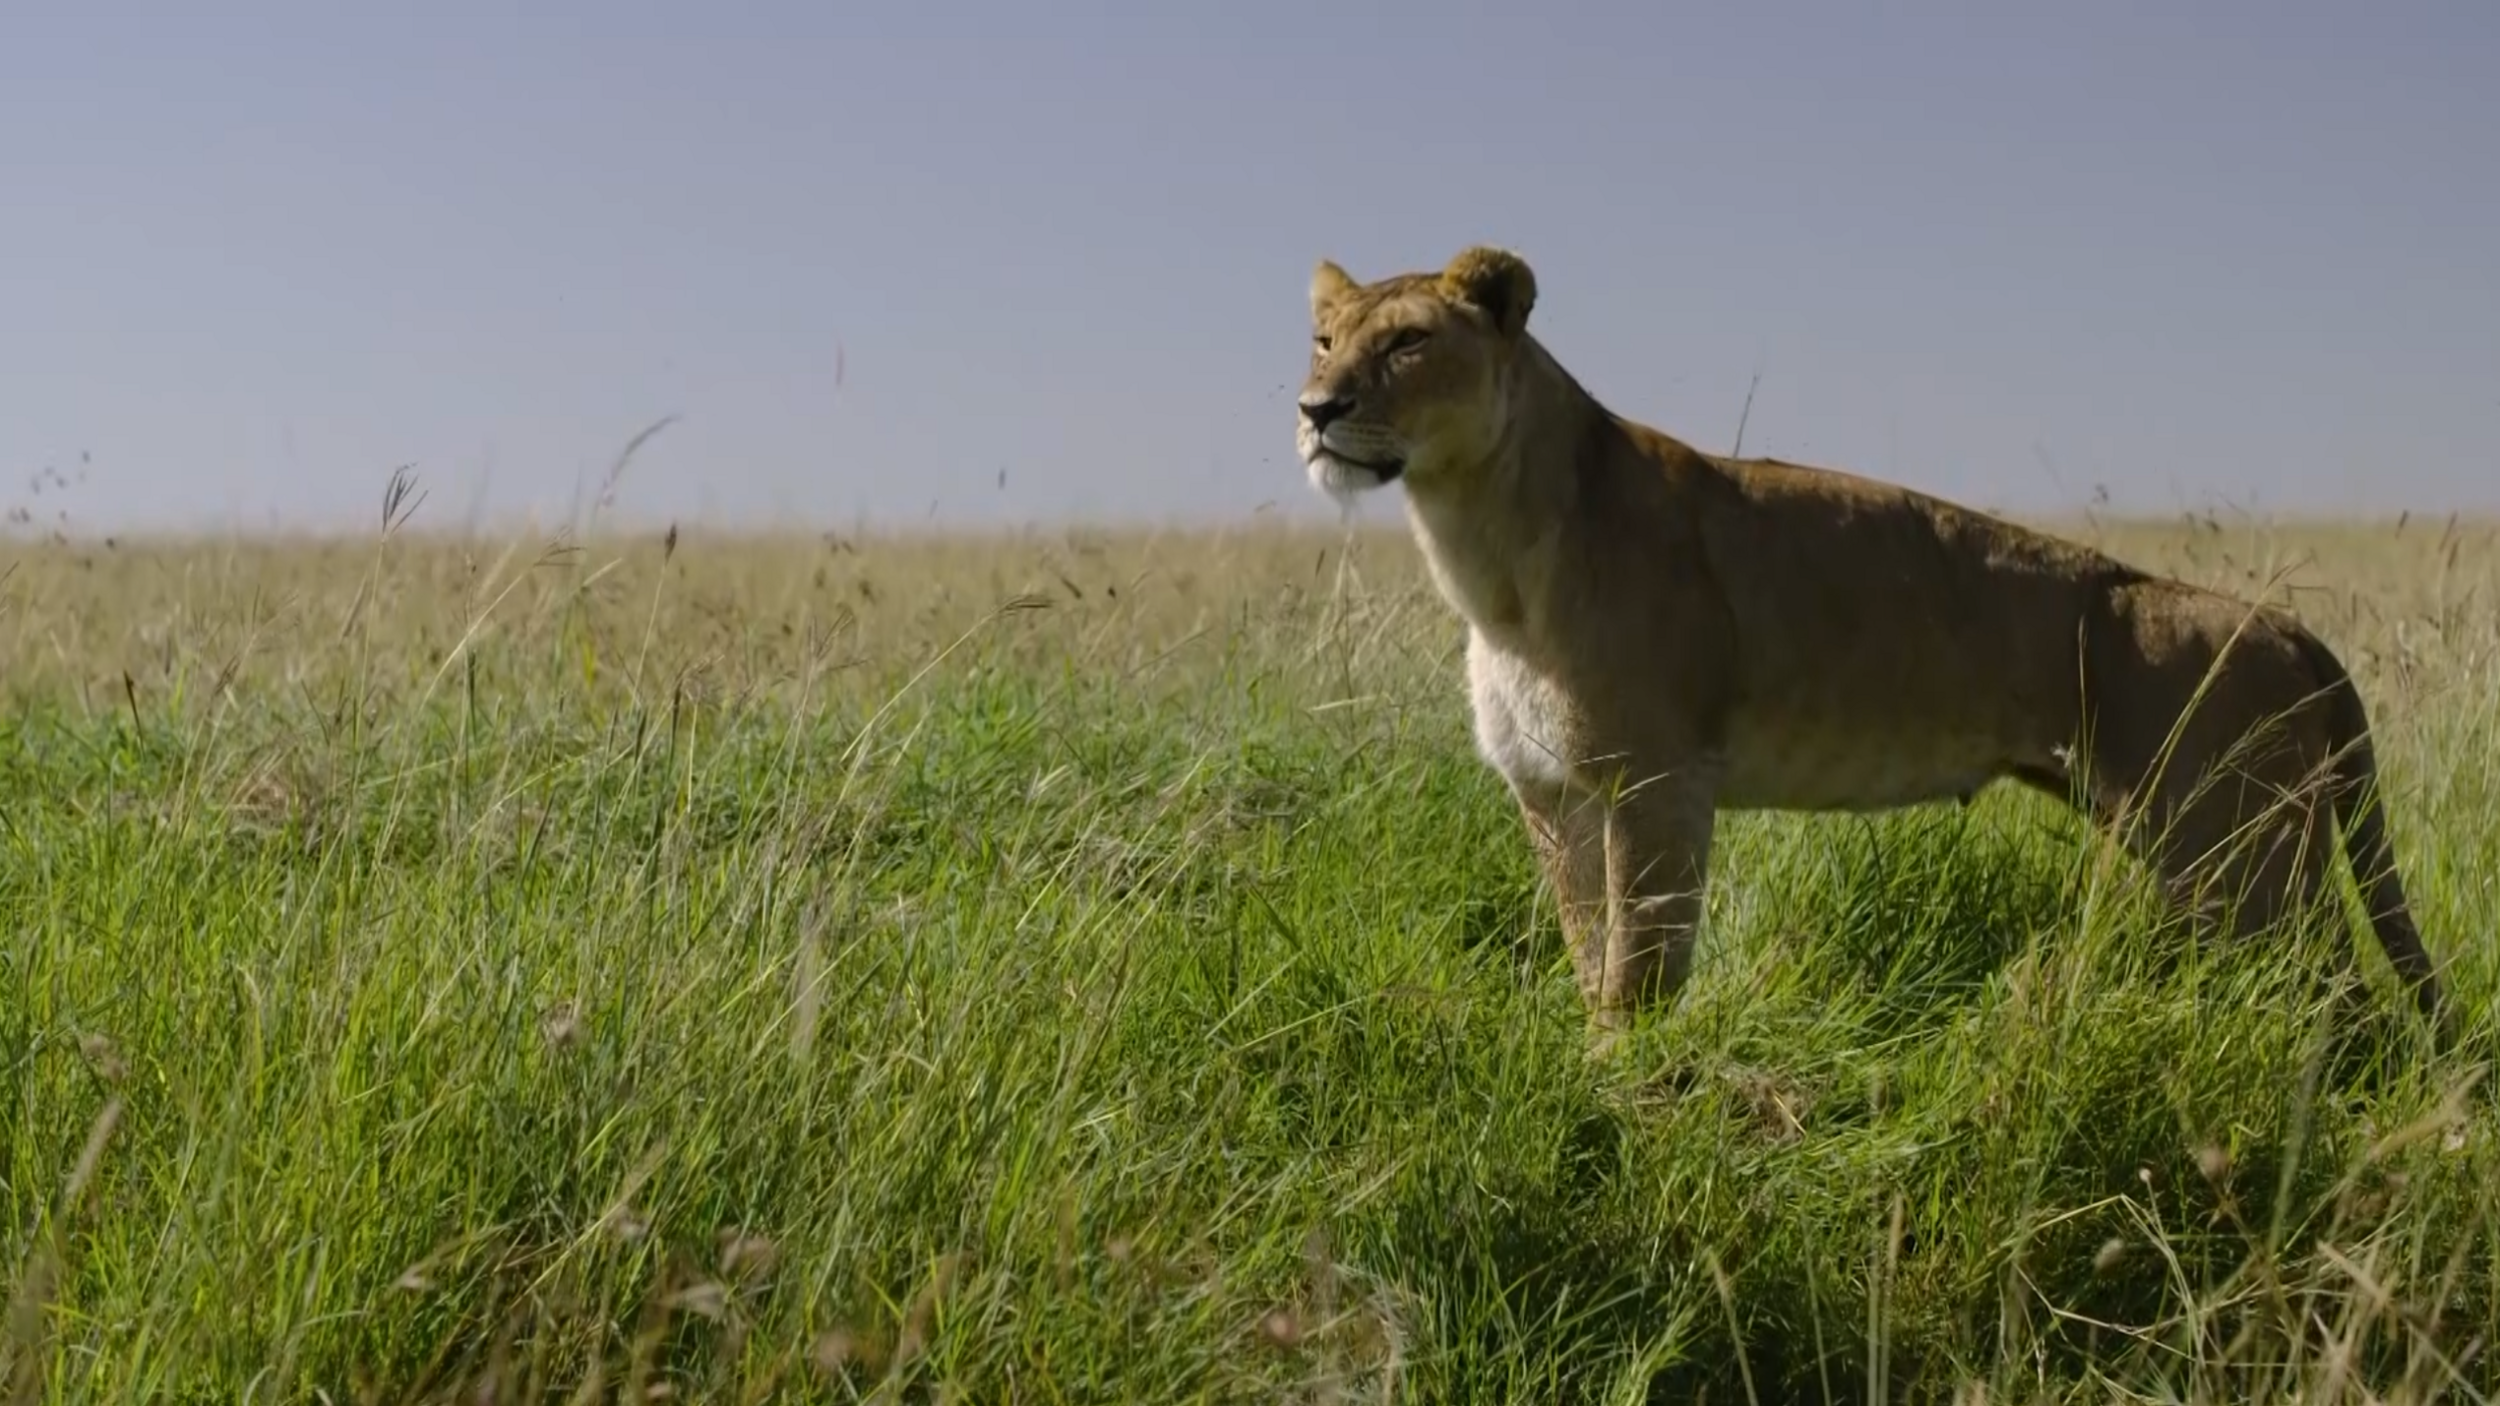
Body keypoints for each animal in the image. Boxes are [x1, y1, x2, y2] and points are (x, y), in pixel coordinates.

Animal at [1294, 244, 2447, 1038]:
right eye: (1323, 340)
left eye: (1407, 343)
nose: (1314, 409)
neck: (1481, 547)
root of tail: (2286, 624)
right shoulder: (1551, 792)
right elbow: (1591, 959)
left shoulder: (1656, 782)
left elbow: (1639, 969)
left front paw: (1626, 1093)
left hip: (2239, 855)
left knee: (2341, 993)